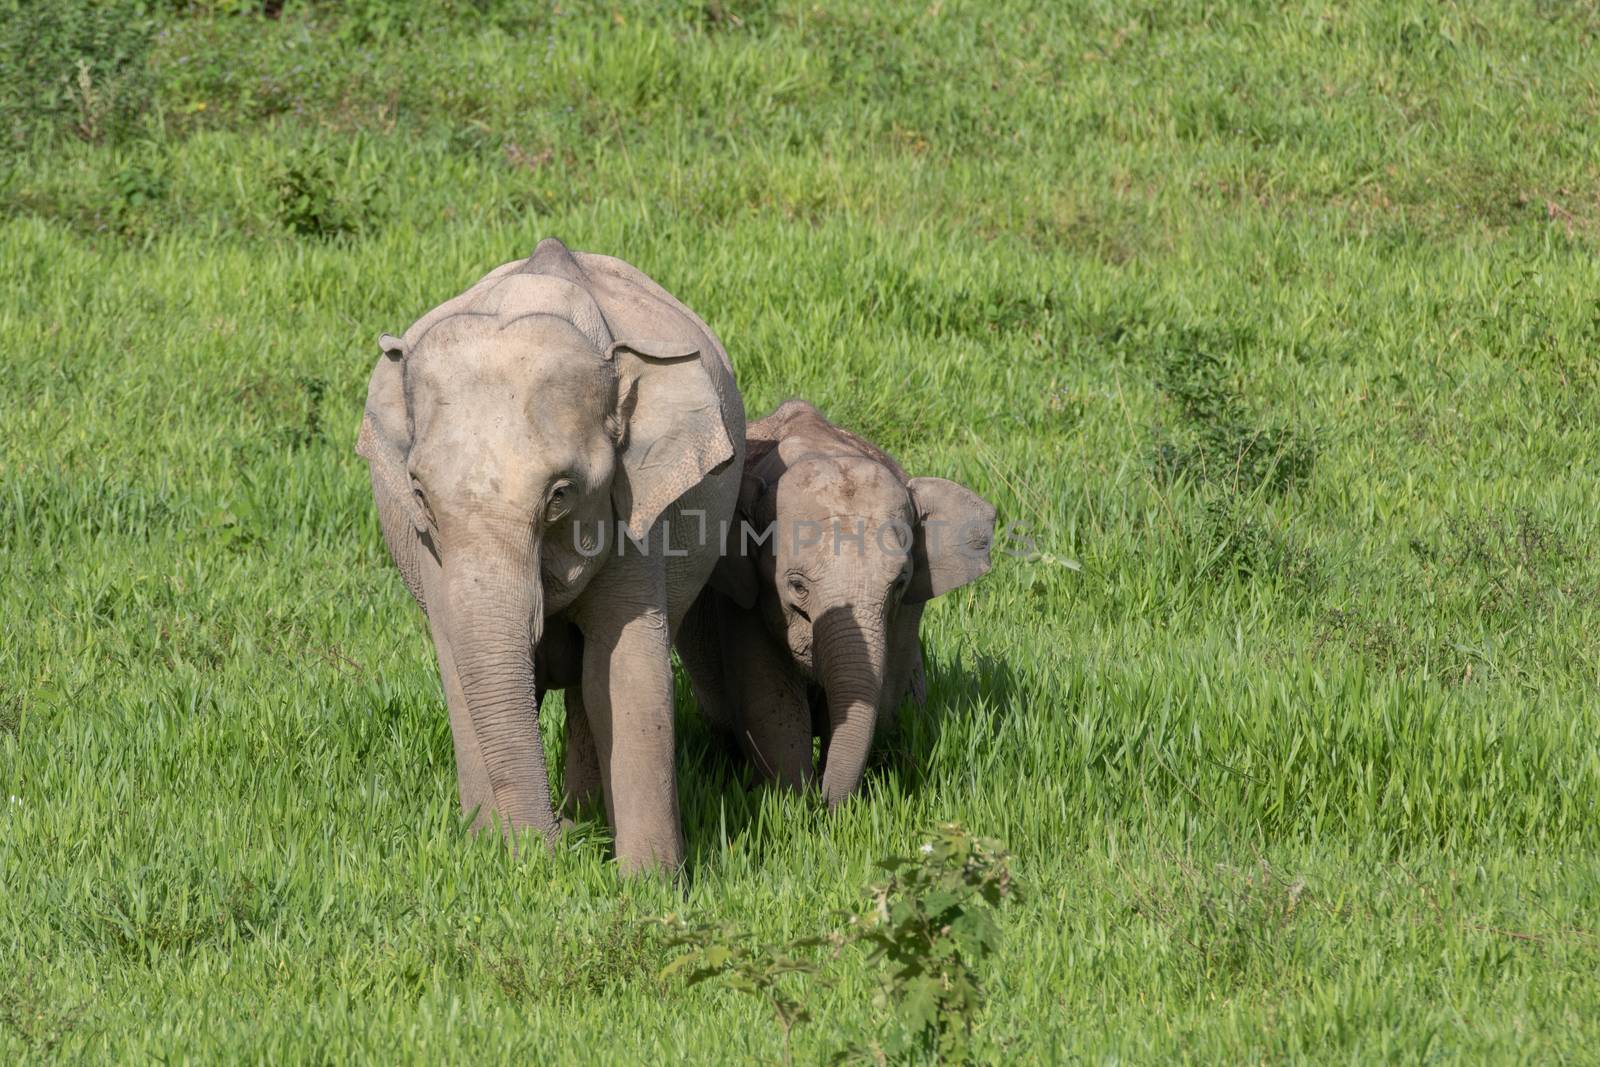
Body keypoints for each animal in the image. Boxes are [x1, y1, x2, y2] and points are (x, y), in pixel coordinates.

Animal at [356, 239, 742, 876]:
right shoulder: (432, 548)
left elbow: (628, 672)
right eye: (419, 493)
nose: (556, 849)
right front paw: (495, 856)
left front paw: (649, 885)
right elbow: (463, 674)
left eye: (561, 494)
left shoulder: (639, 513)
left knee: (588, 684)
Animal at [678, 404, 998, 806]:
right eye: (796, 586)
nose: (826, 800)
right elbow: (771, 705)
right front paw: (794, 806)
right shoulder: (742, 596)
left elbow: (877, 696)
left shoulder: (906, 613)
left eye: (900, 583)